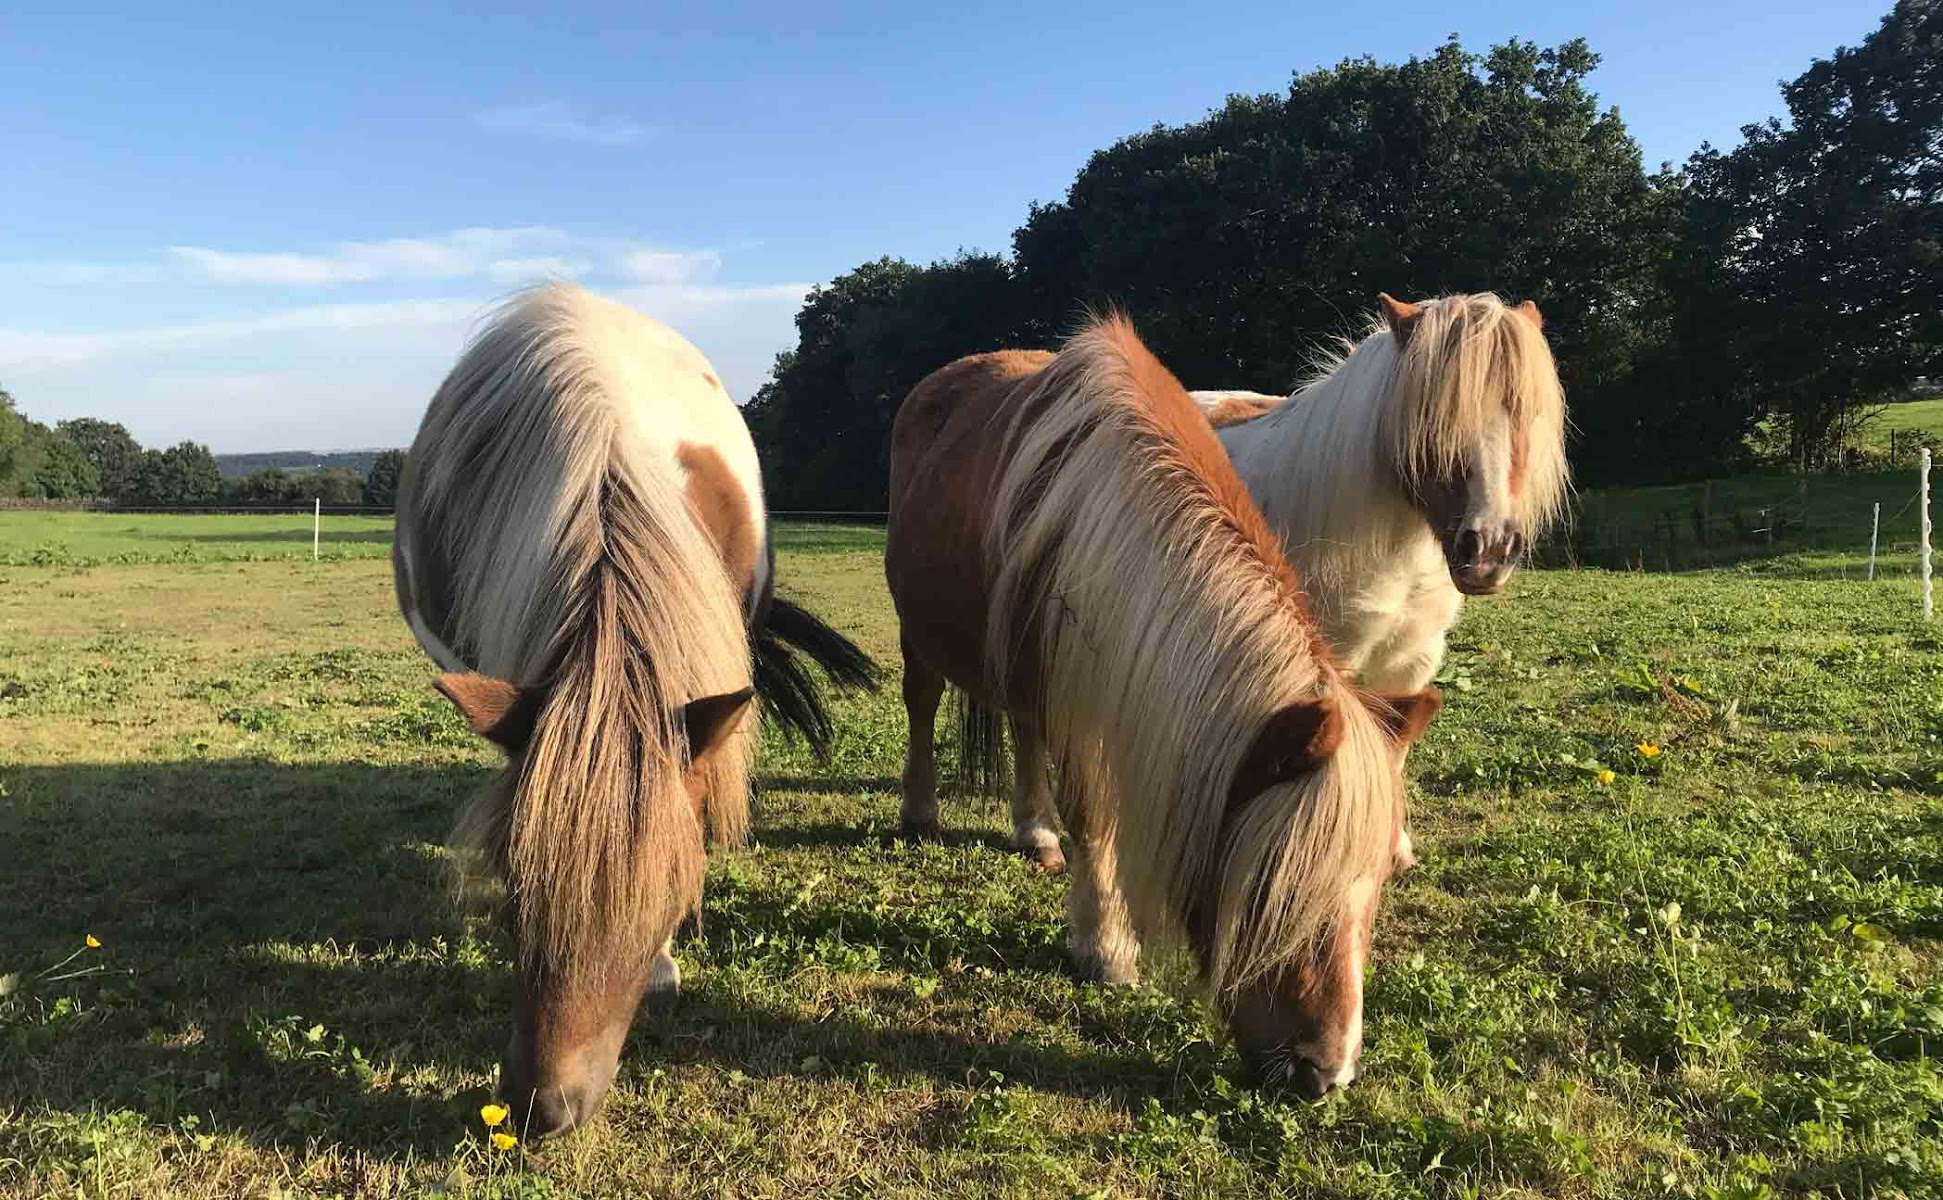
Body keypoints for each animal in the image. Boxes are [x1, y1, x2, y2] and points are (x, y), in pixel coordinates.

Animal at [886, 315, 1440, 1097]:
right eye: (1271, 887)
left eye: (1385, 878)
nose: (1323, 1073)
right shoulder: (1077, 710)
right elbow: (1095, 819)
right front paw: (1106, 947)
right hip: (922, 632)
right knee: (922, 700)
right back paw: (921, 812)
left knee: (1022, 734)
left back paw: (1034, 833)